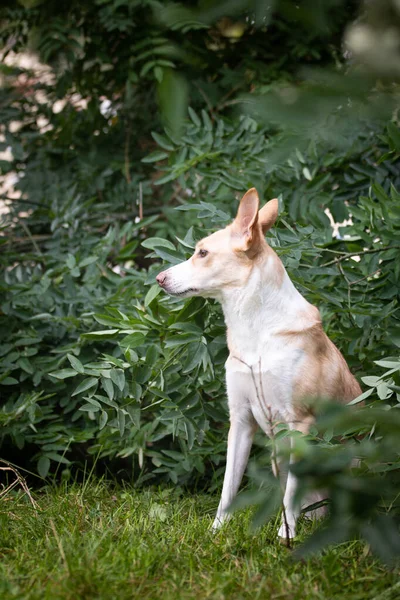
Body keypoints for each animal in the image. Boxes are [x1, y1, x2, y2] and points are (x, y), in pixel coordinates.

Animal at [155, 189, 360, 540]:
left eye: (202, 253)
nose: (159, 278)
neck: (255, 332)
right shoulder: (240, 421)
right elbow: (229, 487)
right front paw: (216, 530)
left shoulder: (299, 423)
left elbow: (290, 491)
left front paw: (285, 536)